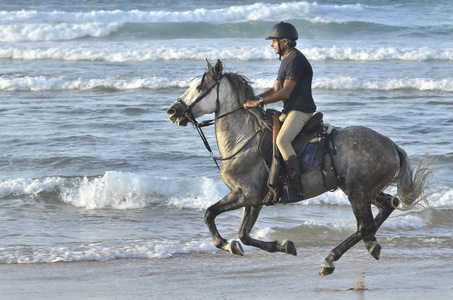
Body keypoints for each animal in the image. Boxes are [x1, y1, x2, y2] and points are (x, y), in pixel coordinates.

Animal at [166, 59, 430, 276]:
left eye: (200, 87)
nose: (172, 110)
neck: (243, 138)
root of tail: (392, 146)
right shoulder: (254, 200)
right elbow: (244, 234)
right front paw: (284, 245)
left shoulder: (246, 194)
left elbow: (210, 214)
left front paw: (229, 245)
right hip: (364, 190)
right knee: (385, 208)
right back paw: (369, 244)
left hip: (357, 192)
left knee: (365, 225)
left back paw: (331, 259)